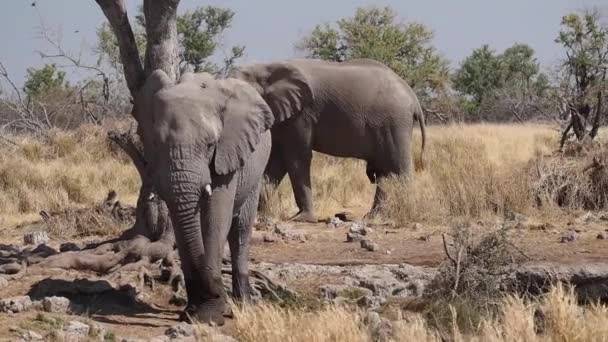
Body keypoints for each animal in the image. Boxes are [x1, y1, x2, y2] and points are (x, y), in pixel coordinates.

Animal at [135, 69, 276, 324]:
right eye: (157, 144)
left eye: (210, 144)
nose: (217, 294)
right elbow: (182, 223)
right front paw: (192, 312)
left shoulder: (226, 154)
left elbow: (215, 218)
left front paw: (209, 316)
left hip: (256, 170)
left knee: (240, 229)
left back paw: (244, 303)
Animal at [230, 57, 426, 223]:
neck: (265, 67)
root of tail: (413, 98)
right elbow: (276, 162)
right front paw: (258, 215)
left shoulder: (301, 114)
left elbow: (296, 158)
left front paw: (302, 219)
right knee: (385, 172)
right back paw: (374, 216)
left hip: (395, 122)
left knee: (399, 168)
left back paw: (405, 213)